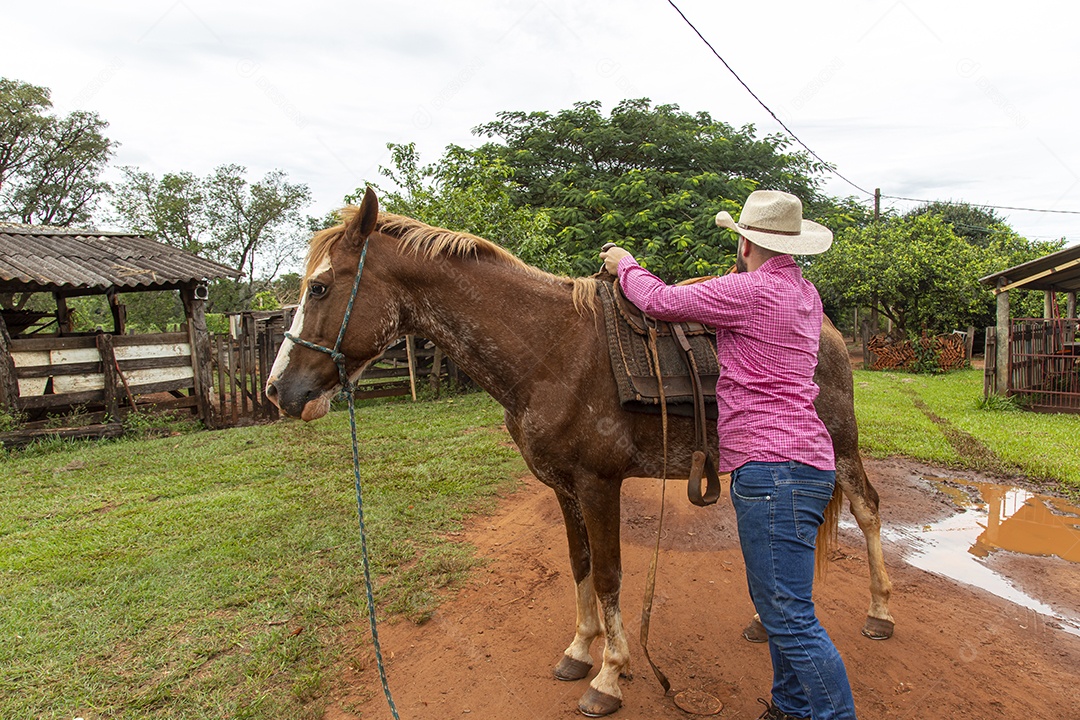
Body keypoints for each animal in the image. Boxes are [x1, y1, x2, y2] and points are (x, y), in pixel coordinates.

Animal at [265, 188, 894, 717]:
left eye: (320, 287)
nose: (278, 391)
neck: (550, 352)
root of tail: (831, 331)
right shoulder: (564, 486)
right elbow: (581, 565)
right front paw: (579, 650)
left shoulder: (598, 484)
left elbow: (611, 574)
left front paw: (610, 675)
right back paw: (768, 624)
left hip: (841, 447)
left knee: (866, 509)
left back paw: (880, 612)